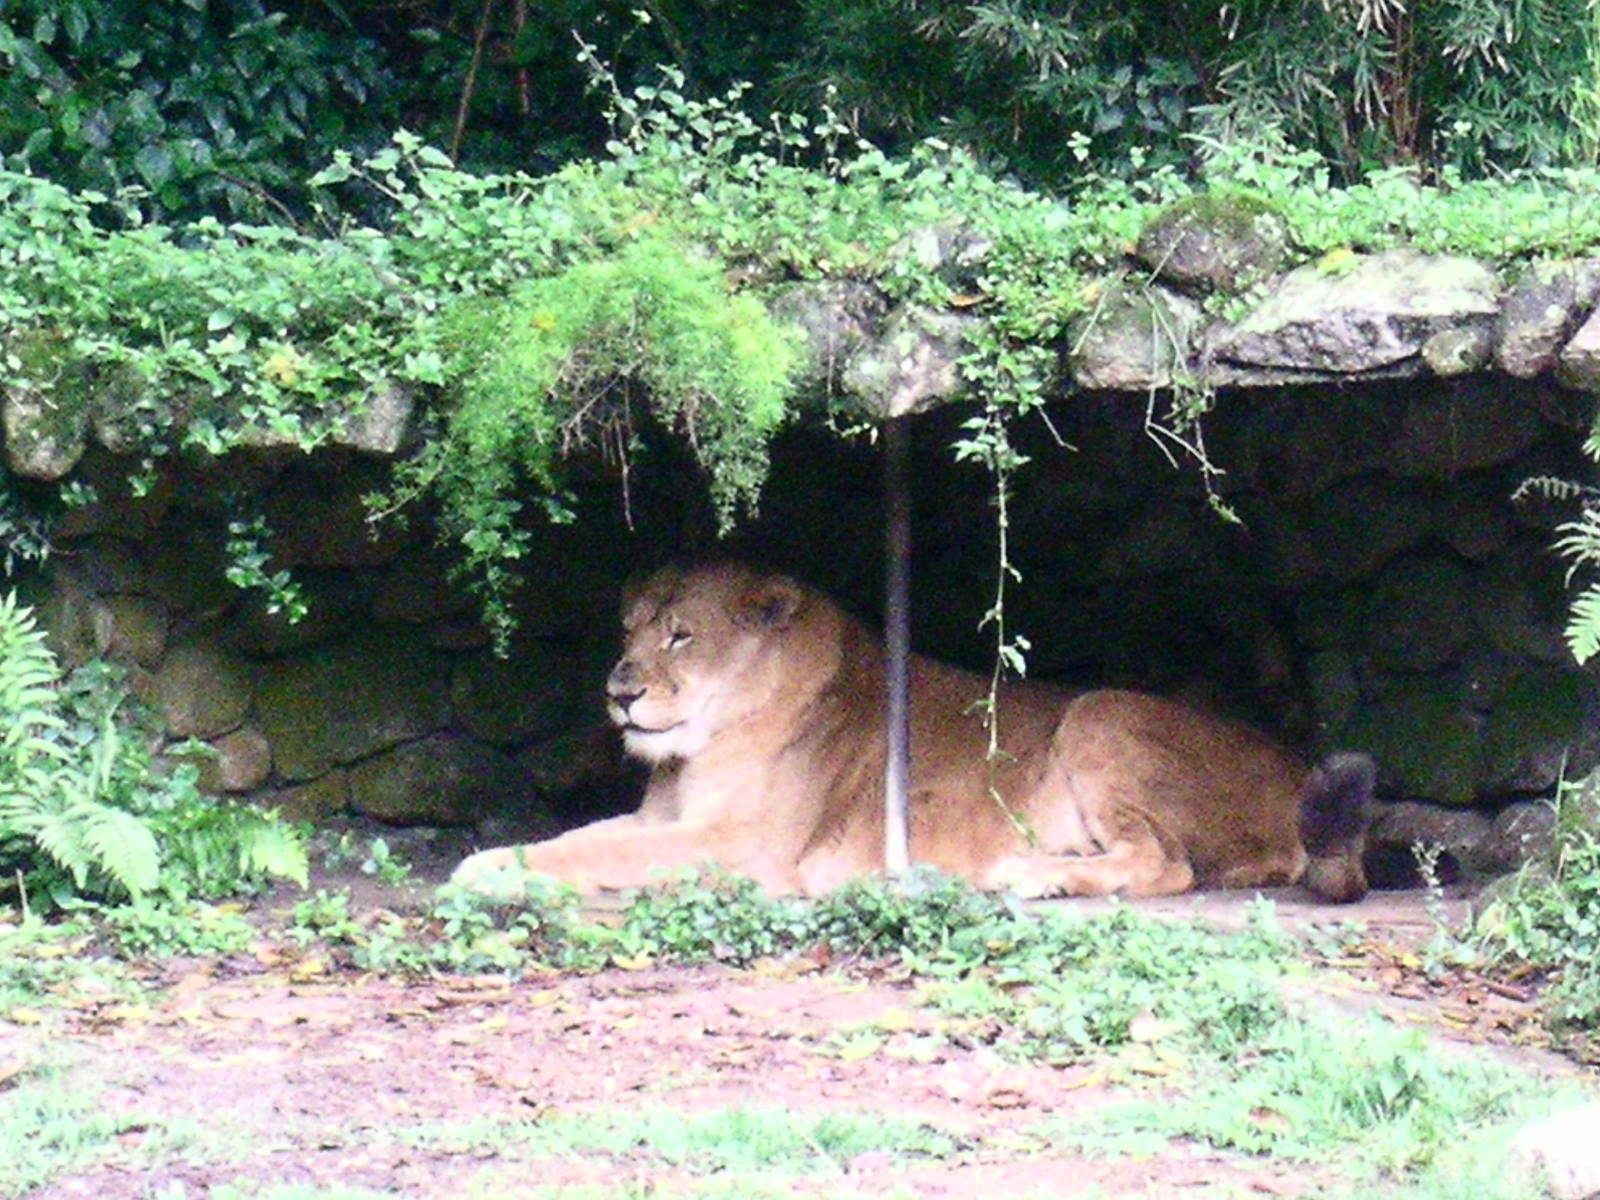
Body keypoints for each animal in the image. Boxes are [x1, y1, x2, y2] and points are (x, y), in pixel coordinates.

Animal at [452, 561, 1374, 902]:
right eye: (630, 630)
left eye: (681, 636)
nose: (619, 691)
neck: (698, 748)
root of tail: (1297, 769)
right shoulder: (664, 819)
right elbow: (581, 837)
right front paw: (503, 855)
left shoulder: (746, 848)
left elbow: (592, 853)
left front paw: (482, 867)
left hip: (1101, 712)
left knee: (1168, 866)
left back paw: (1028, 874)